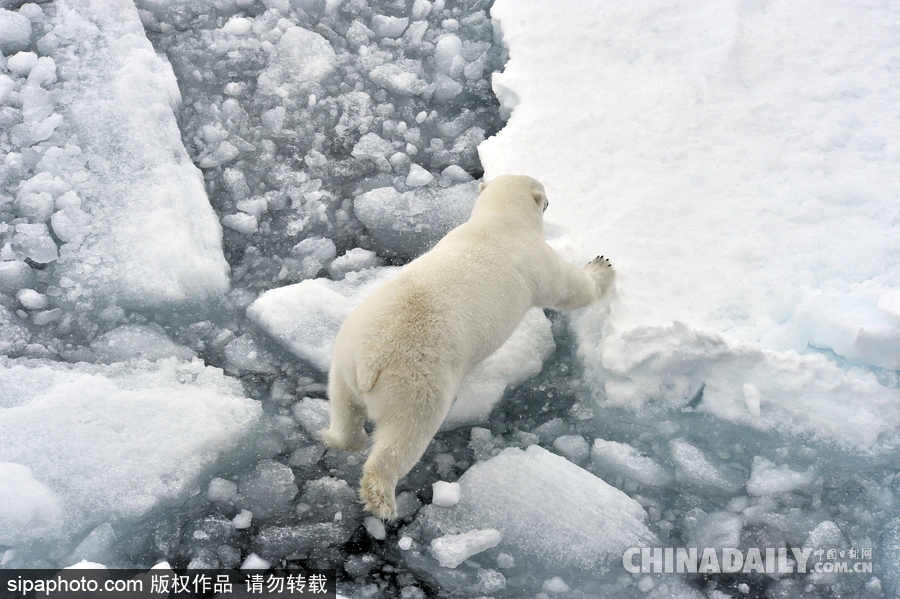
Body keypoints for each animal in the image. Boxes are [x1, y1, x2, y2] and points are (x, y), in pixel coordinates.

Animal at [320, 175, 616, 520]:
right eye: (543, 193)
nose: (550, 198)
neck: (498, 222)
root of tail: (371, 364)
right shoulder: (538, 259)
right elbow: (570, 288)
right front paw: (601, 265)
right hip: (416, 385)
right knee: (405, 435)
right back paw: (383, 500)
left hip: (344, 357)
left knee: (344, 406)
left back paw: (337, 438)